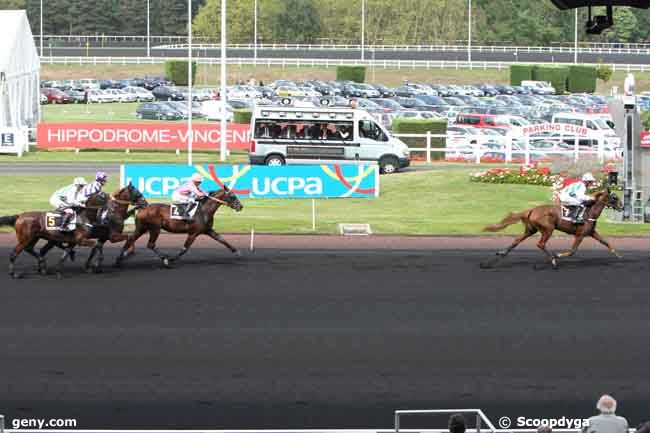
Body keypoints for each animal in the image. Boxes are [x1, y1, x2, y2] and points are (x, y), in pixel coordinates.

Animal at [0, 182, 147, 276]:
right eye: (137, 192)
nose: (145, 203)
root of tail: (19, 216)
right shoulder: (110, 237)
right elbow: (126, 238)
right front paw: (123, 255)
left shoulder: (99, 238)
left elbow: (93, 249)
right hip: (27, 238)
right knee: (16, 252)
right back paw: (15, 273)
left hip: (39, 238)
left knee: (34, 250)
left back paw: (43, 267)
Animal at [480, 188, 624, 268]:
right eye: (614, 197)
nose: (622, 207)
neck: (589, 213)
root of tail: (532, 210)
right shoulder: (580, 235)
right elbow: (572, 251)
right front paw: (557, 255)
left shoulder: (591, 232)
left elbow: (605, 242)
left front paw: (619, 255)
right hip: (548, 229)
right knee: (540, 244)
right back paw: (553, 260)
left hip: (531, 230)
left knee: (516, 241)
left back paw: (495, 258)